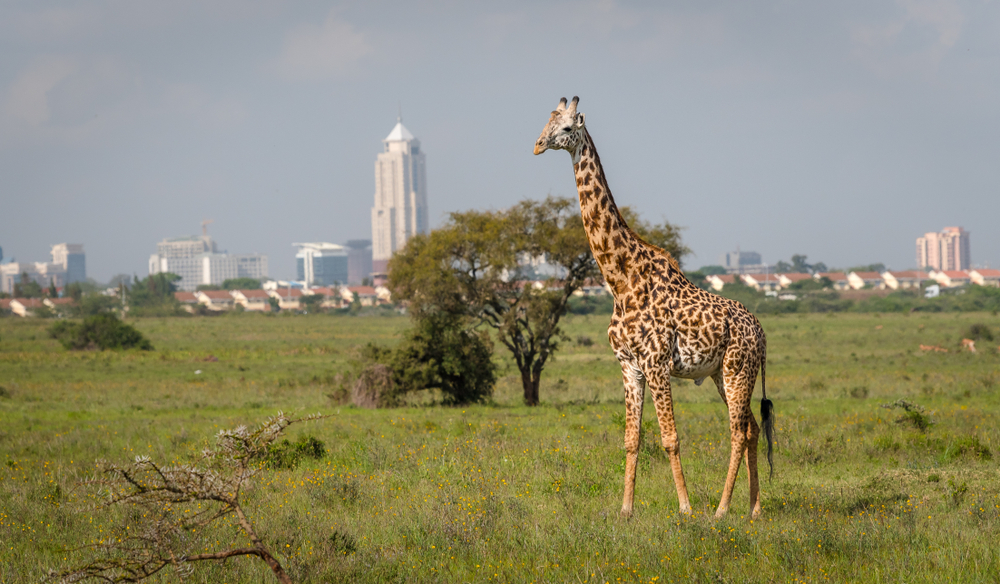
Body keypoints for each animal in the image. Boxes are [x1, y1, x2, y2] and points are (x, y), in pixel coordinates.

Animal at [532, 97, 772, 520]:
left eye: (566, 128)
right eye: (547, 122)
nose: (538, 145)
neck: (621, 279)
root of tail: (761, 334)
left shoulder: (657, 363)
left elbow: (670, 437)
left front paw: (685, 508)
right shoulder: (629, 365)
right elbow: (632, 438)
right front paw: (626, 510)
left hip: (737, 369)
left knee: (738, 432)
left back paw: (721, 509)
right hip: (720, 373)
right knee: (752, 429)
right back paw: (754, 509)